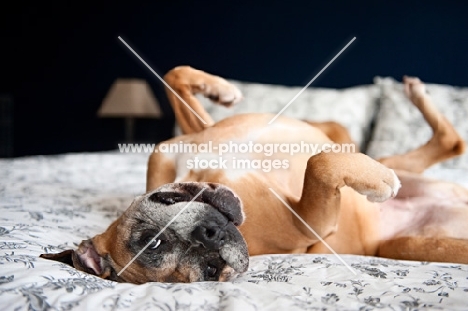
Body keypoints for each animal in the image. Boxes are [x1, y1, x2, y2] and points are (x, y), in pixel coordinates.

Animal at [40, 67, 468, 284]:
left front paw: (221, 90)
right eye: (207, 274)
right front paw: (376, 182)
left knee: (451, 142)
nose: (209, 240)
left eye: (153, 241)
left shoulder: (194, 135)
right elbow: (320, 165)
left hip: (399, 161)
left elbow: (174, 78)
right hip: (409, 244)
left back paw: (414, 95)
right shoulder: (308, 223)